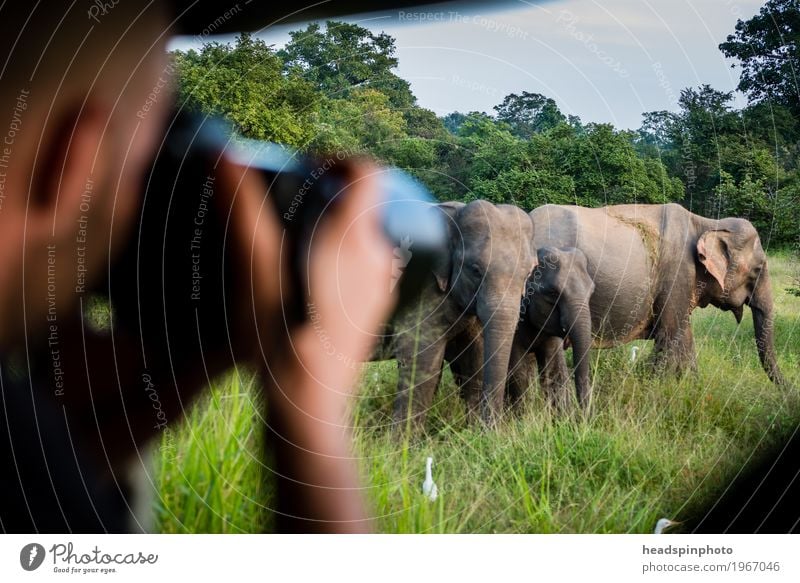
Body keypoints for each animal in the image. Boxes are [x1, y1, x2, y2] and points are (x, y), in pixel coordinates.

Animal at [390, 200, 536, 424]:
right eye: (475, 270)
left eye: (528, 274)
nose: (493, 427)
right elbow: (420, 359)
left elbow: (474, 359)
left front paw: (473, 428)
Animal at [512, 246, 592, 416]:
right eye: (553, 293)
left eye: (592, 291)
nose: (583, 417)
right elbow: (517, 372)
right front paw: (521, 418)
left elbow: (553, 370)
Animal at [532, 203, 788, 386]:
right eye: (758, 269)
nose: (788, 390)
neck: (707, 222)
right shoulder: (677, 275)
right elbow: (670, 335)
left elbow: (684, 335)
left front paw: (692, 387)